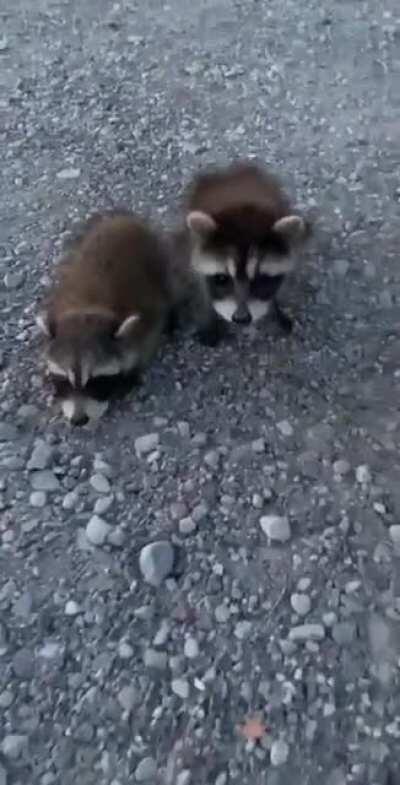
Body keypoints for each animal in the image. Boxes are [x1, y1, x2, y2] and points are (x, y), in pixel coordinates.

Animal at [36, 211, 175, 425]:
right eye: (63, 380)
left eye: (97, 381)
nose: (78, 420)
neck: (86, 308)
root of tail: (124, 221)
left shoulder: (148, 316)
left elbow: (148, 340)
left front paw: (132, 374)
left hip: (159, 261)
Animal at [183, 161, 310, 345]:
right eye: (222, 279)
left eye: (262, 279)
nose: (241, 319)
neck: (242, 207)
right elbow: (202, 288)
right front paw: (209, 316)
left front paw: (277, 306)